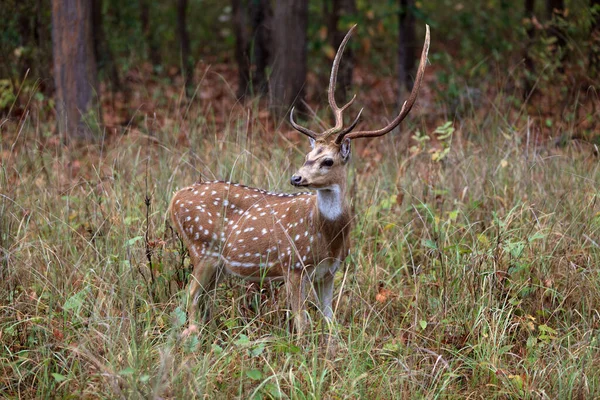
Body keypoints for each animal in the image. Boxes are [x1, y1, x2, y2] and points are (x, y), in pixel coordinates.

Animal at [171, 23, 428, 332]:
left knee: (201, 298)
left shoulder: (329, 271)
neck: (326, 237)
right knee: (189, 297)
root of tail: (174, 199)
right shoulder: (293, 265)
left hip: (218, 263)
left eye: (327, 160)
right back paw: (192, 335)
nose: (296, 178)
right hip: (203, 248)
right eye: (308, 155)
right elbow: (302, 322)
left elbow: (330, 321)